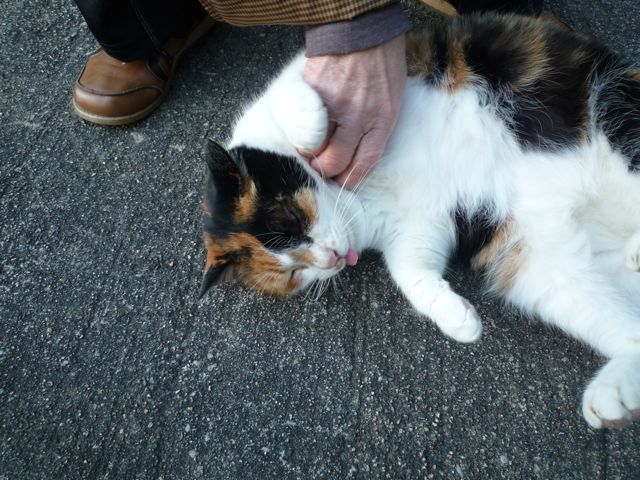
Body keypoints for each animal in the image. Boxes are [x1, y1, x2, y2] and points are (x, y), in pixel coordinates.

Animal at [199, 13, 640, 429]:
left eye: (292, 217)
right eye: (291, 274)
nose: (330, 258)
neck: (355, 200)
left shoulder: (311, 80)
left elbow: (290, 98)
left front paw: (308, 132)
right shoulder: (417, 223)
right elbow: (410, 270)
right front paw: (457, 319)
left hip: (614, 110)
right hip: (547, 272)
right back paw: (613, 393)